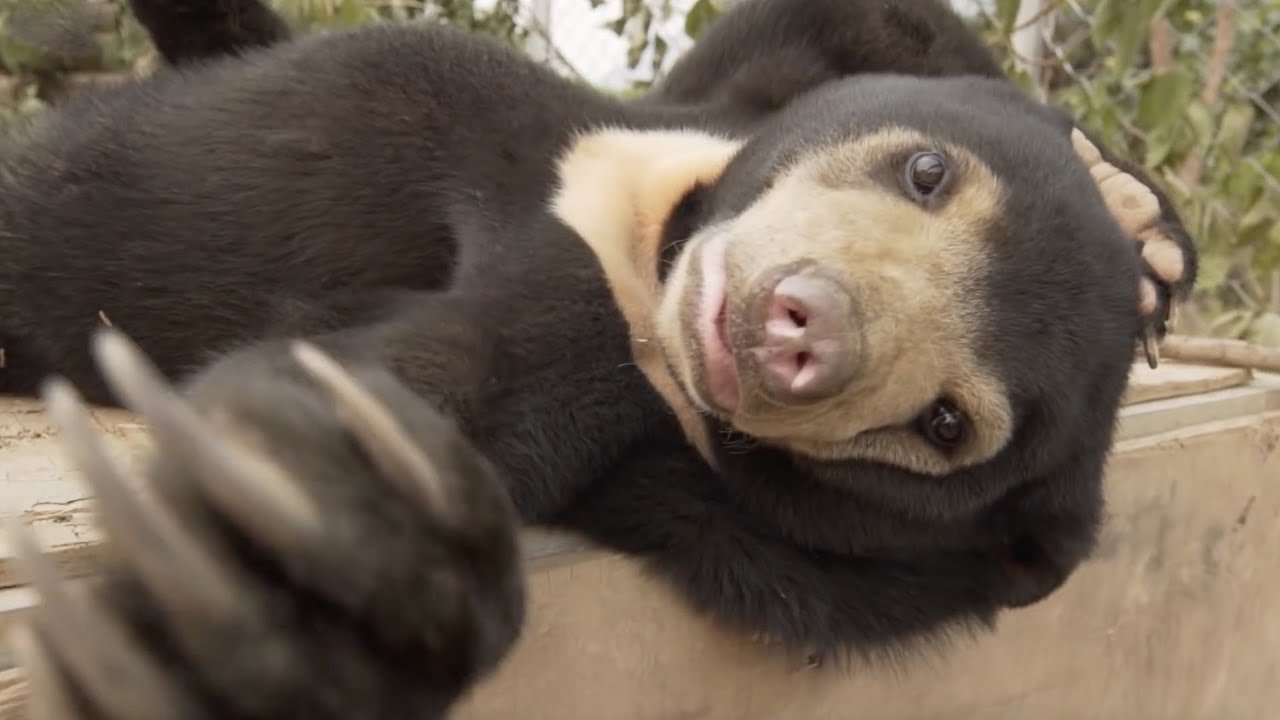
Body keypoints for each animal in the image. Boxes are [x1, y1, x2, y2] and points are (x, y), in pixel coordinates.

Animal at [1, 0, 1197, 718]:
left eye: (944, 427)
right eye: (926, 173)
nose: (796, 328)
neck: (652, 252)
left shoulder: (613, 407)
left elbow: (445, 382)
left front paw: (295, 578)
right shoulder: (755, 74)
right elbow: (877, 25)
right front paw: (1140, 225)